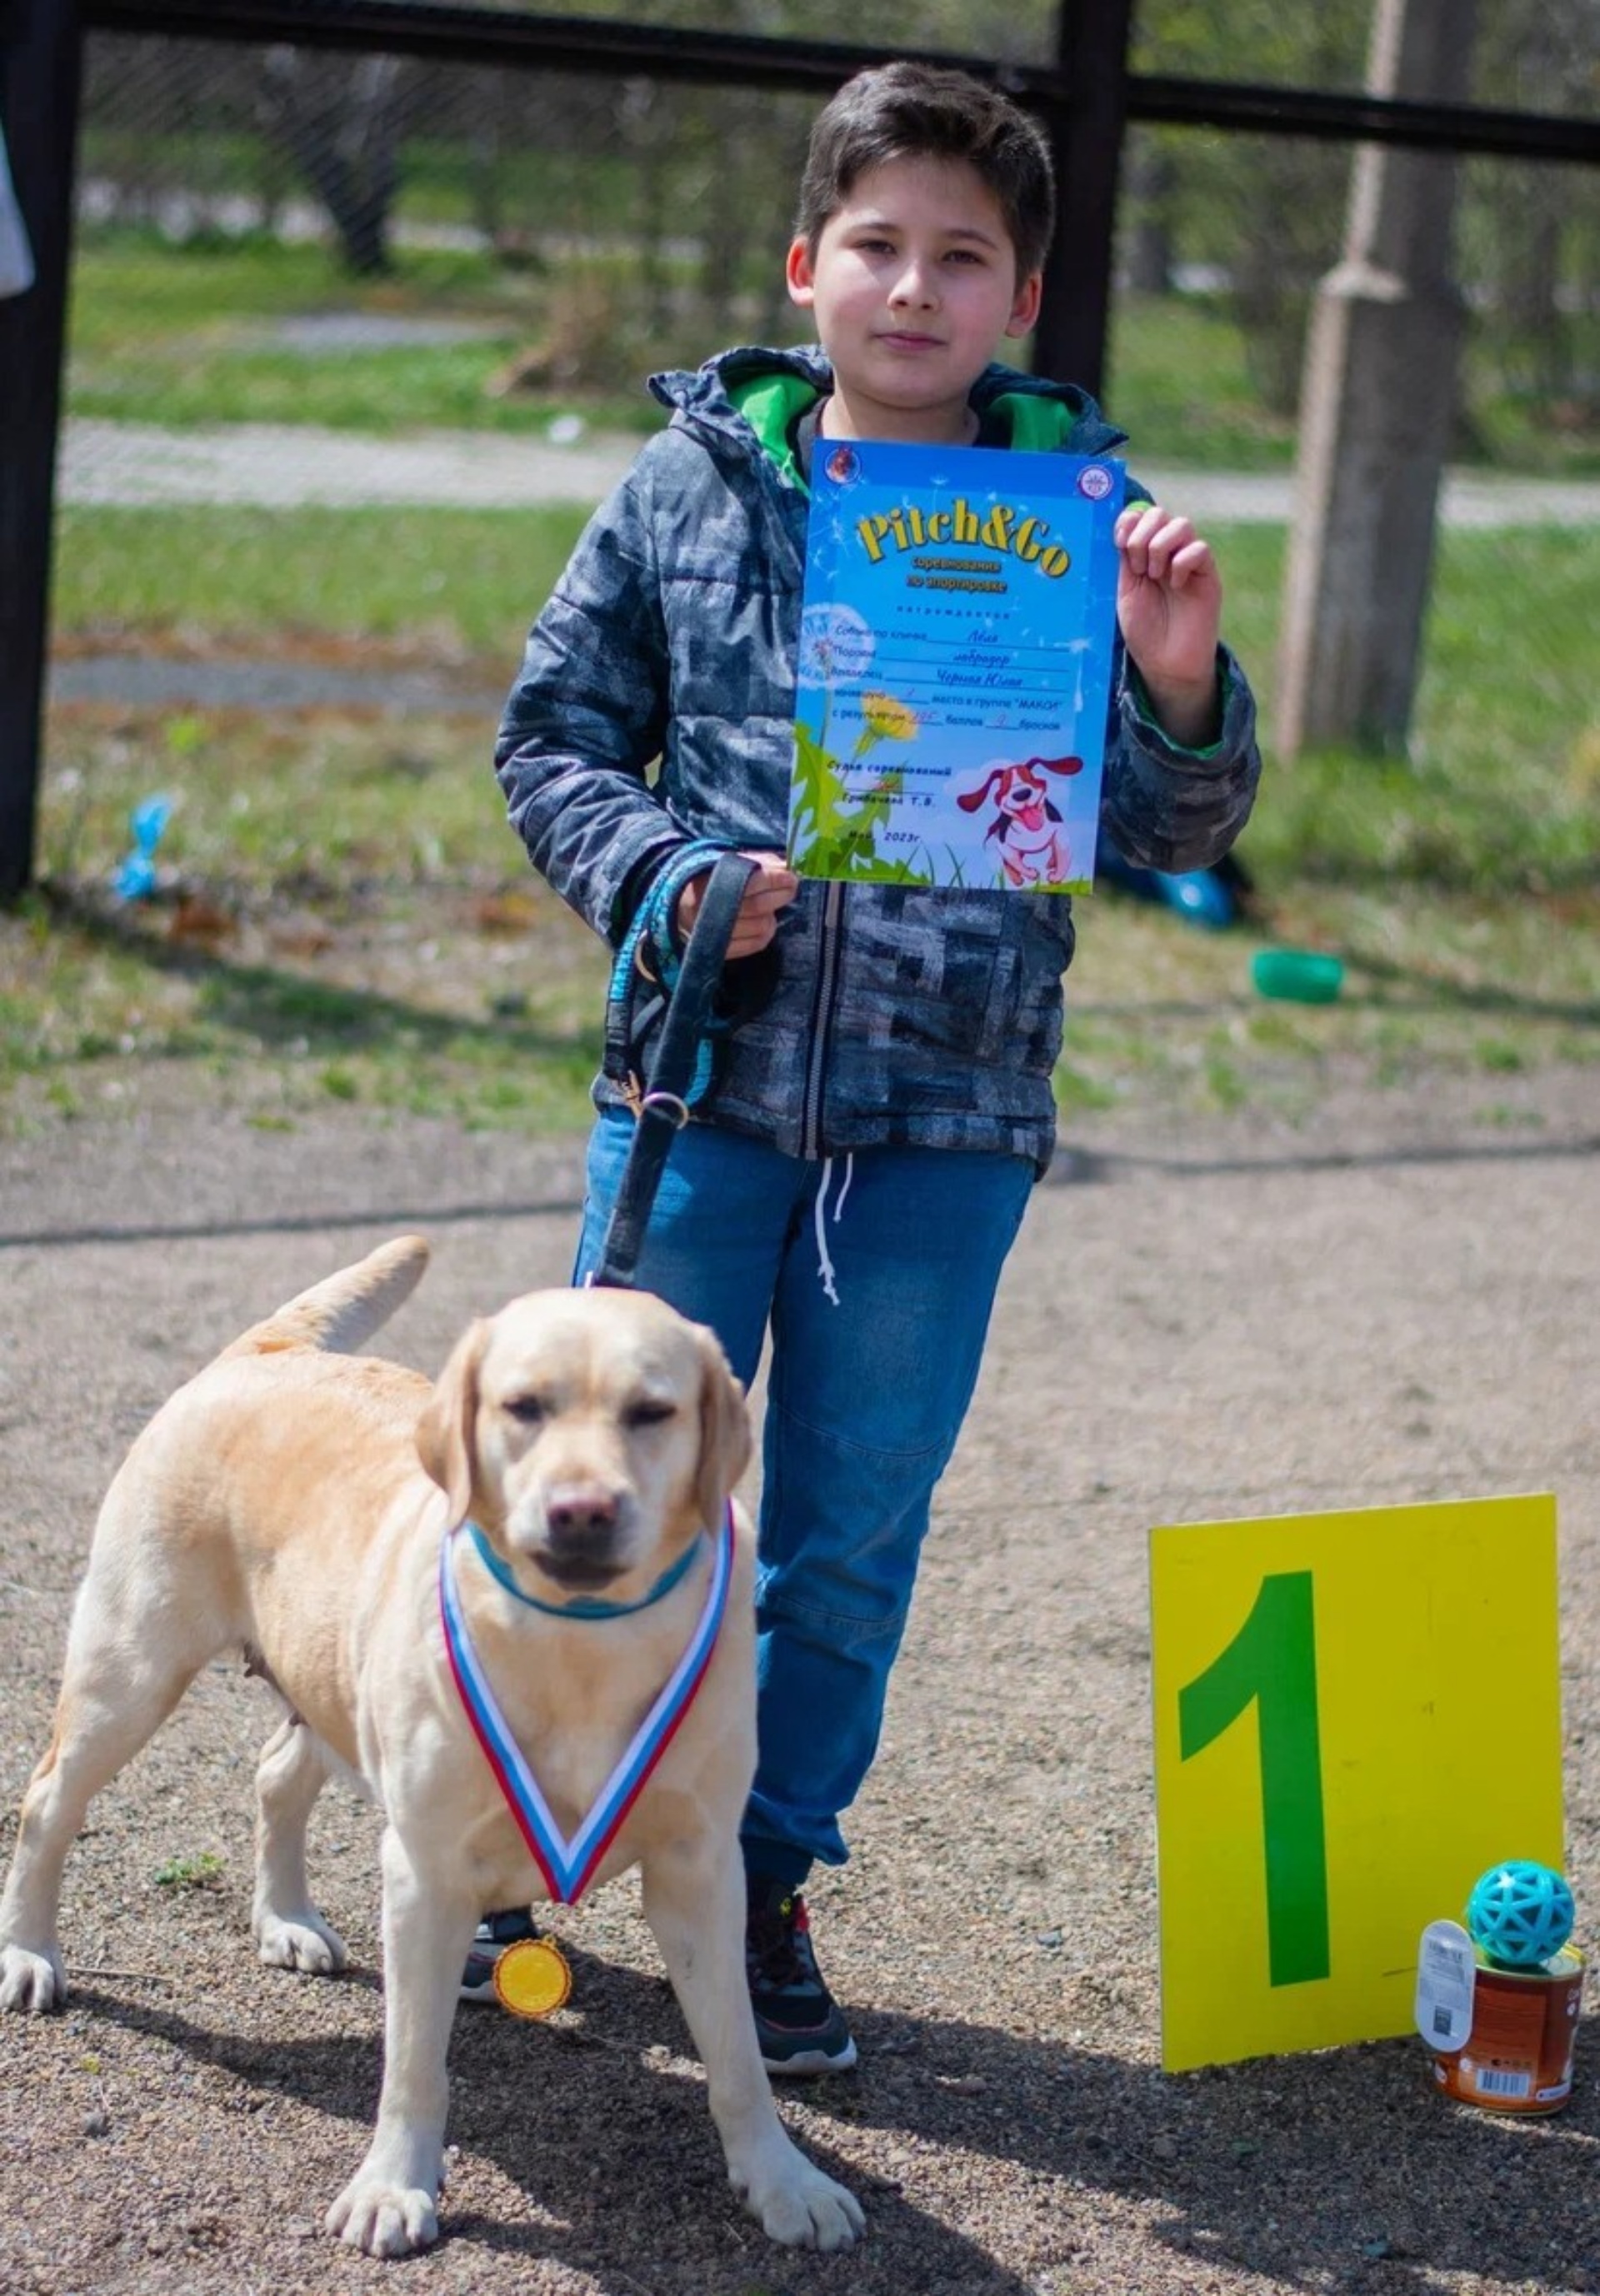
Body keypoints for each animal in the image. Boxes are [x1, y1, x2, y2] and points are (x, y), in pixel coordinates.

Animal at [0, 1240, 862, 2259]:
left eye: (652, 1411)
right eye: (524, 1406)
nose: (580, 1510)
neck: (579, 1643)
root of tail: (267, 1348)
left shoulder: (701, 1869)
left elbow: (736, 2058)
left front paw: (784, 2180)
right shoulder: (424, 1870)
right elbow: (414, 2060)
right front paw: (394, 2186)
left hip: (326, 1681)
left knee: (275, 1774)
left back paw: (284, 1917)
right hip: (130, 1671)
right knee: (47, 1801)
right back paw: (28, 1951)